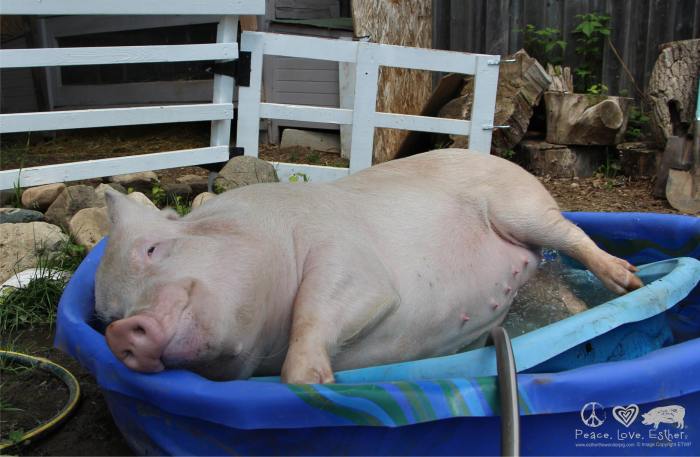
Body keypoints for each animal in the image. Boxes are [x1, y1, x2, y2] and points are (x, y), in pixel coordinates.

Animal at [95, 149, 642, 383]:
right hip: (530, 270)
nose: (122, 332)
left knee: (572, 236)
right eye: (108, 316)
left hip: (522, 206)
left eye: (152, 250)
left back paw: (628, 281)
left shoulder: (347, 256)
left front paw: (314, 383)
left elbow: (321, 304)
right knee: (554, 285)